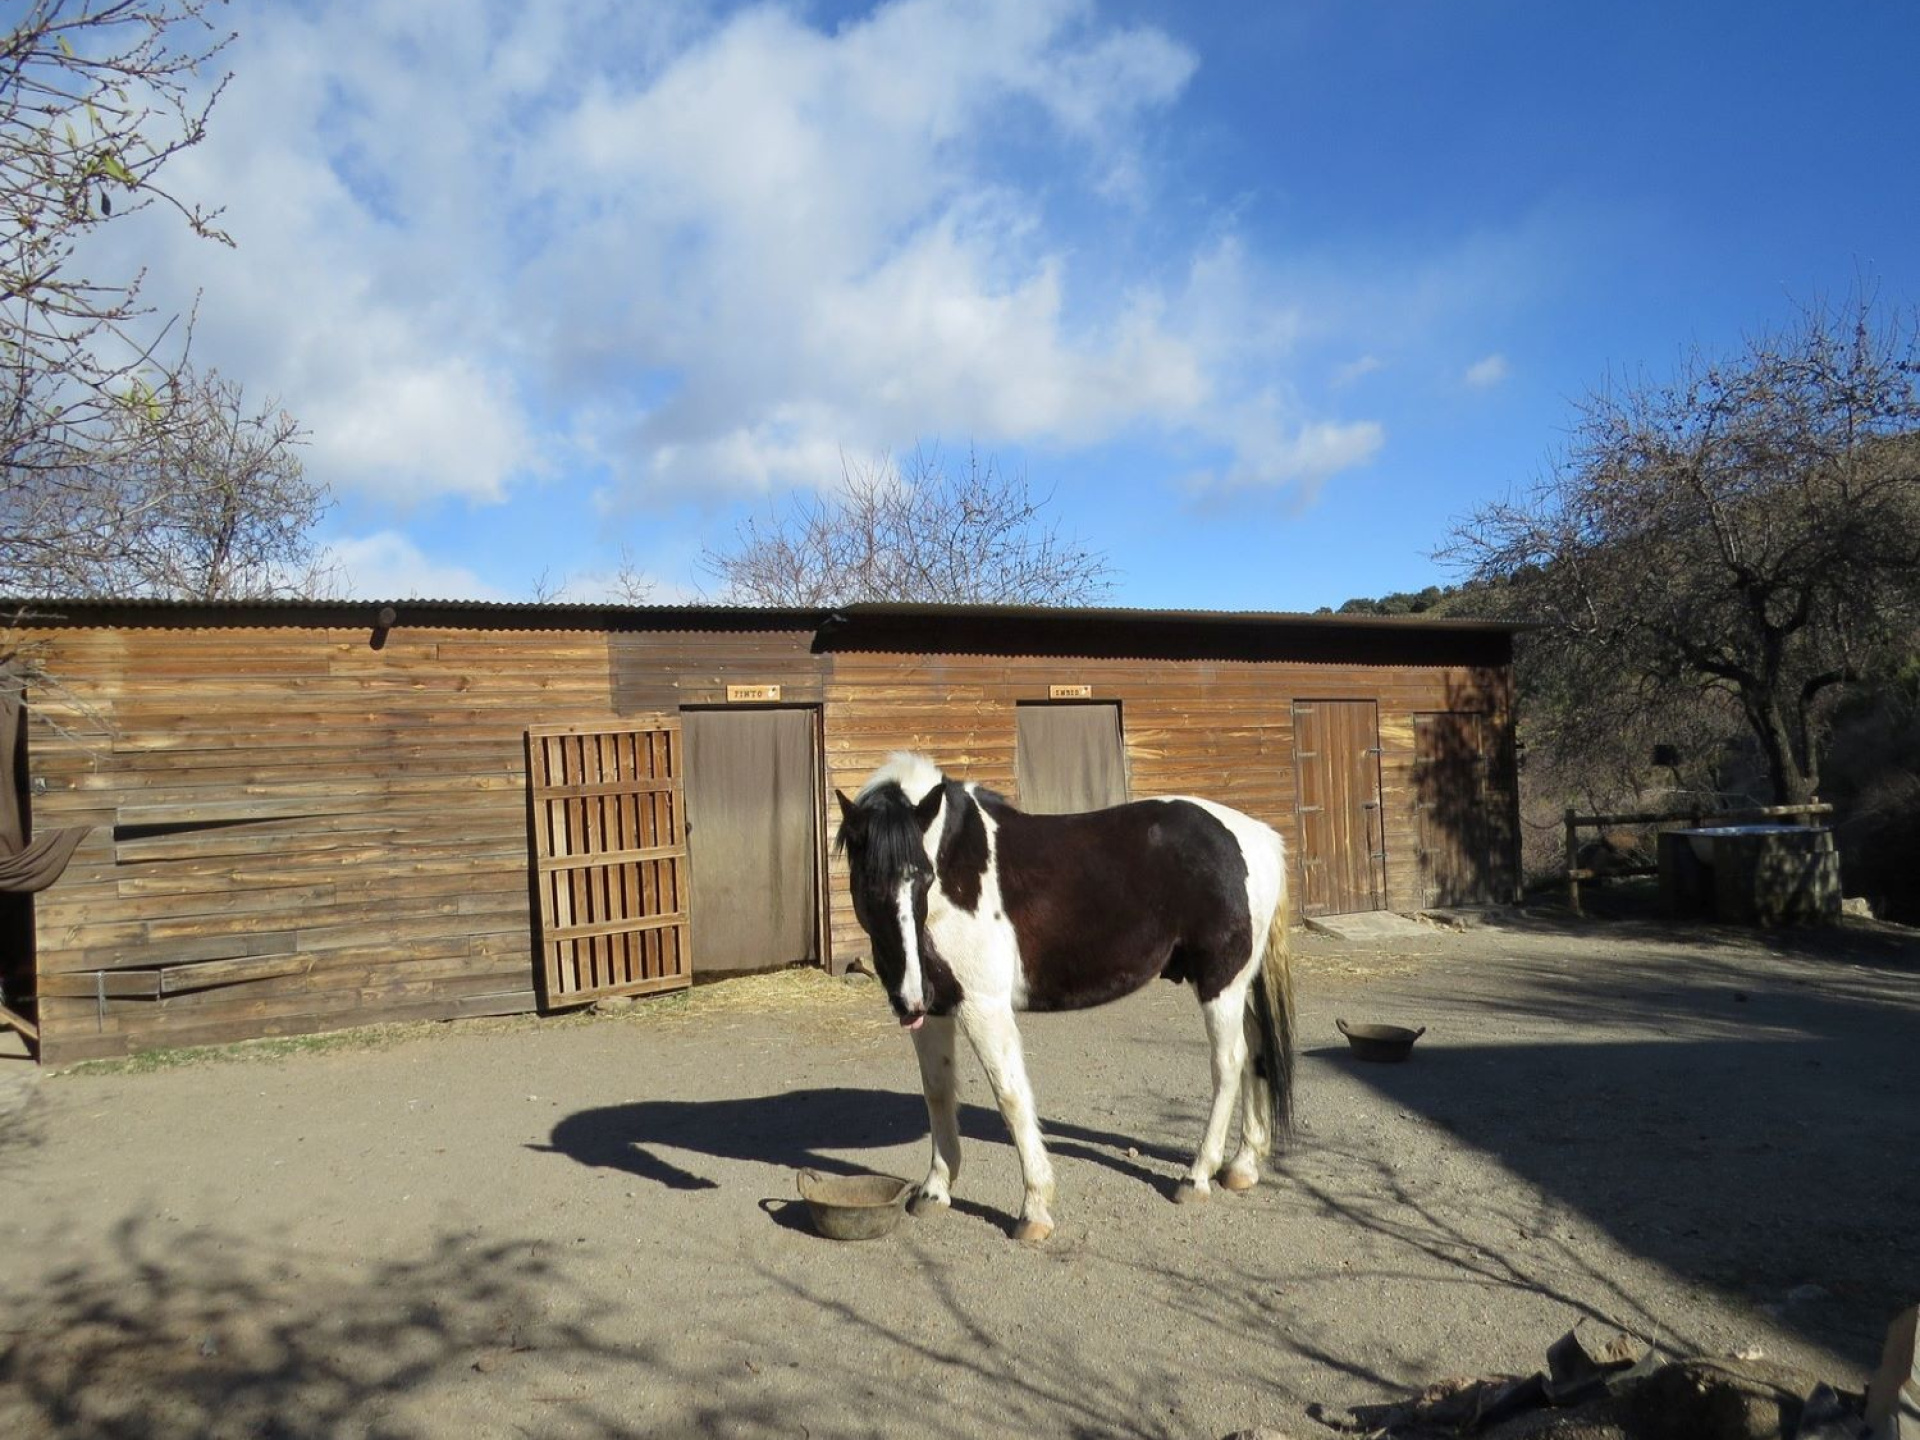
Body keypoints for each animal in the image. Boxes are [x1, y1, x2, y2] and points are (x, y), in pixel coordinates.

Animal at [834, 752, 1296, 1243]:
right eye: (868, 884)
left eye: (923, 877)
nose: (909, 997)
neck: (955, 866)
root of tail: (1257, 837)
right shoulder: (936, 1008)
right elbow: (938, 1092)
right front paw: (934, 1192)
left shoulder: (983, 1006)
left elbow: (1011, 1097)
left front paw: (1034, 1209)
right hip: (1239, 985)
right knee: (1256, 1052)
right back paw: (1242, 1166)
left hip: (1220, 984)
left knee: (1228, 1064)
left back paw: (1197, 1177)